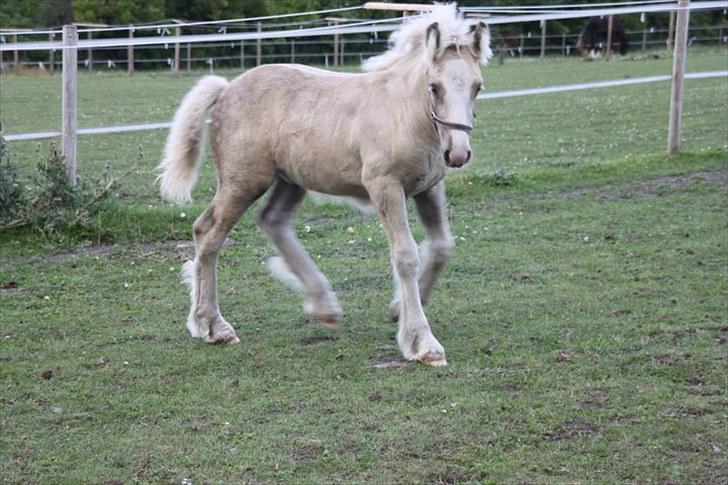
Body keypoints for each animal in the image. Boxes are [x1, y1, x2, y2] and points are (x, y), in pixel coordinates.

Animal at [156, 3, 492, 364]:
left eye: (477, 86)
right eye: (434, 87)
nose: (457, 153)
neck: (404, 113)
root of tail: (226, 89)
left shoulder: (428, 188)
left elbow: (442, 246)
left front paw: (396, 308)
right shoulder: (385, 187)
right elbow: (405, 256)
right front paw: (422, 343)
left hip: (291, 180)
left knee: (272, 221)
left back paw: (323, 306)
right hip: (243, 182)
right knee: (208, 232)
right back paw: (213, 326)